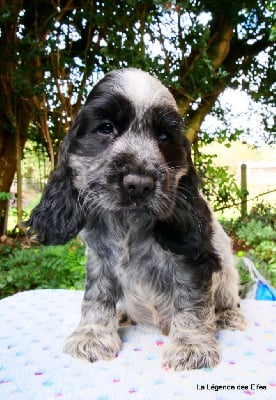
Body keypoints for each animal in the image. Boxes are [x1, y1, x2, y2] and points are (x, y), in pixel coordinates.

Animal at [28, 67, 246, 370]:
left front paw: (191, 348)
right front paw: (92, 336)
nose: (139, 184)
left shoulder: (194, 260)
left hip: (226, 267)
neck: (129, 223)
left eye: (164, 137)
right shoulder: (99, 261)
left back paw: (227, 316)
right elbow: (96, 297)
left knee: (228, 298)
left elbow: (191, 301)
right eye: (106, 127)